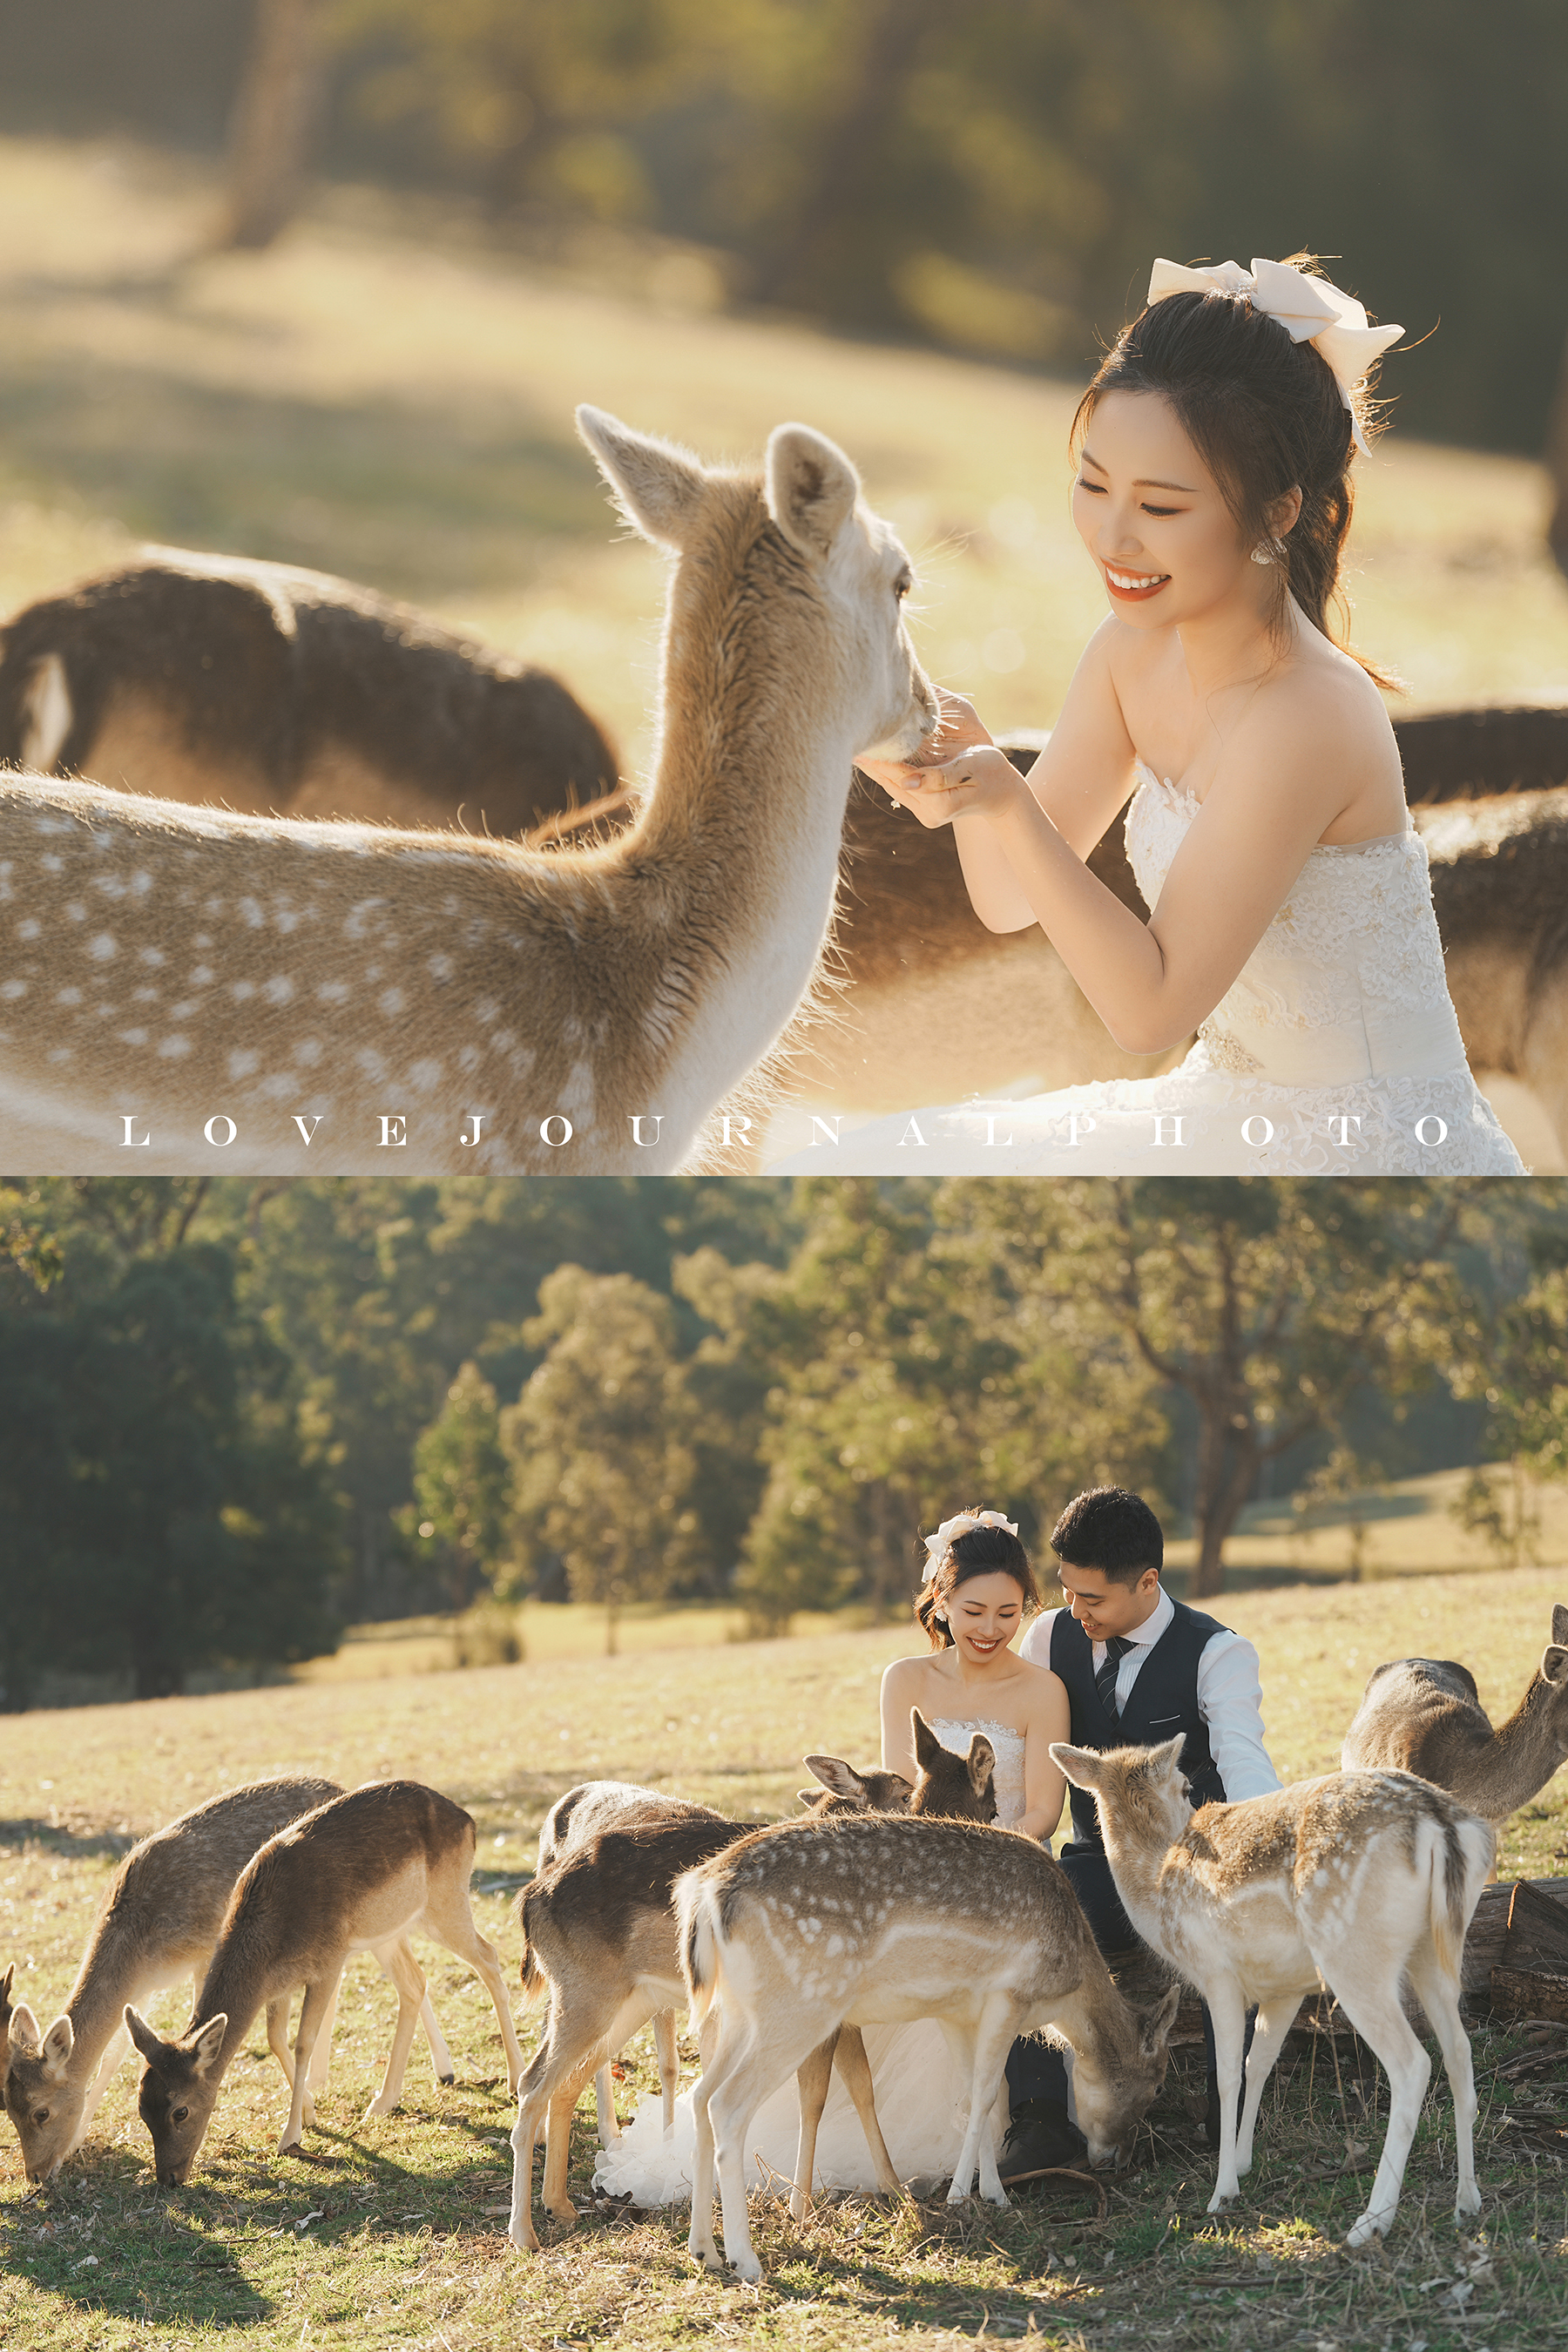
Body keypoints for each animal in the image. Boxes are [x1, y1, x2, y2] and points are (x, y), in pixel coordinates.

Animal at [0, 1774, 457, 2184]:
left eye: (42, 2112)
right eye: (9, 2107)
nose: (35, 2175)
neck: (140, 1942)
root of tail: (340, 1785)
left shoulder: (205, 1954)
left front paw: (304, 2111)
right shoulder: (143, 1988)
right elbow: (114, 2055)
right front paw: (77, 2140)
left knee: (403, 1972)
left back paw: (438, 2071)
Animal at [123, 1778, 525, 2184]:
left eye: (180, 2110)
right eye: (142, 2108)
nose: (169, 2178)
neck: (272, 1932)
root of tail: (467, 1819)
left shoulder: (329, 1962)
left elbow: (304, 2042)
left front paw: (290, 2135)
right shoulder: (279, 1986)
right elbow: (275, 2039)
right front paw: (309, 2111)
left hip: (447, 1903)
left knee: (490, 1958)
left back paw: (514, 2081)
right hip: (391, 1930)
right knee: (414, 1983)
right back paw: (383, 2101)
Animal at [507, 1713, 996, 2252]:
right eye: (905, 1791)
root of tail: (529, 1899)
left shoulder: (843, 2014)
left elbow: (862, 2087)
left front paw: (897, 2192)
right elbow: (816, 2096)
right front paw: (803, 2210)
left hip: (625, 1999)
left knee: (566, 2080)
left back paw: (562, 2206)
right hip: (582, 1992)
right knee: (533, 2082)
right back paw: (524, 2233)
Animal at [676, 1807, 1178, 2284]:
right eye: (1156, 2086)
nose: (1117, 2158)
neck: (1065, 1991)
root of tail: (704, 1894)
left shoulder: (955, 2011)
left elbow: (978, 2096)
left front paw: (991, 2193)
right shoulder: (1009, 1995)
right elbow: (985, 2094)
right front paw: (961, 2195)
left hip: (738, 2012)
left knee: (699, 2096)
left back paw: (704, 2251)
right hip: (801, 2004)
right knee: (727, 2104)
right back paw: (746, 2261)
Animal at [1051, 1737, 1494, 2248]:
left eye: (1187, 1786)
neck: (1157, 1893)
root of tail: (1440, 1824)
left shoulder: (1216, 1974)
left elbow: (1226, 2075)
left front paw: (1222, 2192)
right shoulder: (1285, 1987)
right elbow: (1257, 2062)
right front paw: (1243, 2162)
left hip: (1352, 1954)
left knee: (1413, 2064)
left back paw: (1371, 2222)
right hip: (1436, 1948)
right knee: (1459, 2051)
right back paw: (1467, 2203)